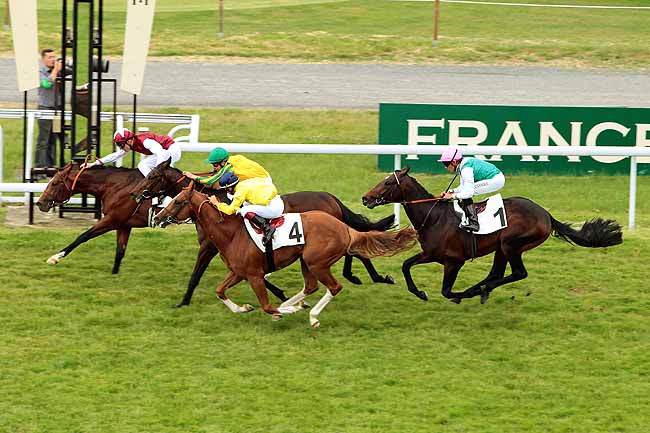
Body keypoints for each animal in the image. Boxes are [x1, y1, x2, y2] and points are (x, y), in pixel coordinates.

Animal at [129, 159, 398, 307]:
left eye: (153, 176)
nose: (135, 193)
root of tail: (330, 197)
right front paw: (280, 294)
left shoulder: (209, 246)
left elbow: (196, 275)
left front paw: (183, 301)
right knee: (355, 248)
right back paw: (362, 276)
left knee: (358, 250)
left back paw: (375, 277)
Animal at [153, 182, 418, 328]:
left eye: (177, 202)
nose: (157, 217)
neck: (232, 232)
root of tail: (344, 228)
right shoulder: (239, 272)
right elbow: (219, 291)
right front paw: (244, 308)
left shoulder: (254, 275)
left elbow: (267, 305)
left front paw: (283, 311)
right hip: (306, 261)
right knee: (311, 286)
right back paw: (297, 304)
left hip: (316, 261)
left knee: (334, 287)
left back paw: (311, 315)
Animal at [361, 167, 623, 304]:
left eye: (387, 183)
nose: (366, 198)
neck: (434, 217)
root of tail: (546, 214)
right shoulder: (430, 254)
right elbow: (406, 265)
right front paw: (420, 292)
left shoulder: (454, 261)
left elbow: (447, 291)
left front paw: (459, 295)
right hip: (501, 247)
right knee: (497, 273)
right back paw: (482, 289)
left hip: (511, 244)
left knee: (518, 273)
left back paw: (478, 290)